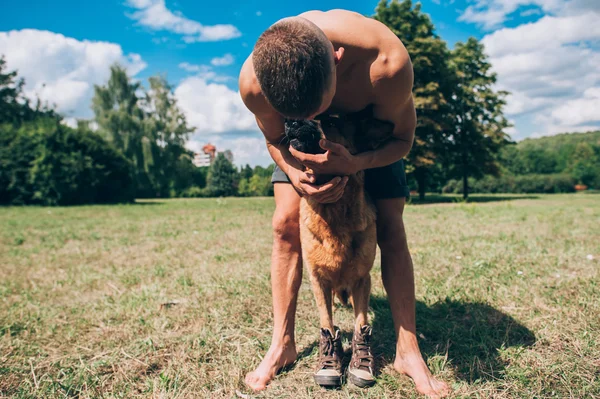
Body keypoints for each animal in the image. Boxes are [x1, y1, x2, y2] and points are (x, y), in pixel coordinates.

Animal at [286, 114, 394, 390]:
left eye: (332, 121)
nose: (290, 121)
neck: (334, 211)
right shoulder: (318, 280)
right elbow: (327, 321)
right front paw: (329, 361)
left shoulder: (362, 279)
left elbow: (361, 321)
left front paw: (361, 361)